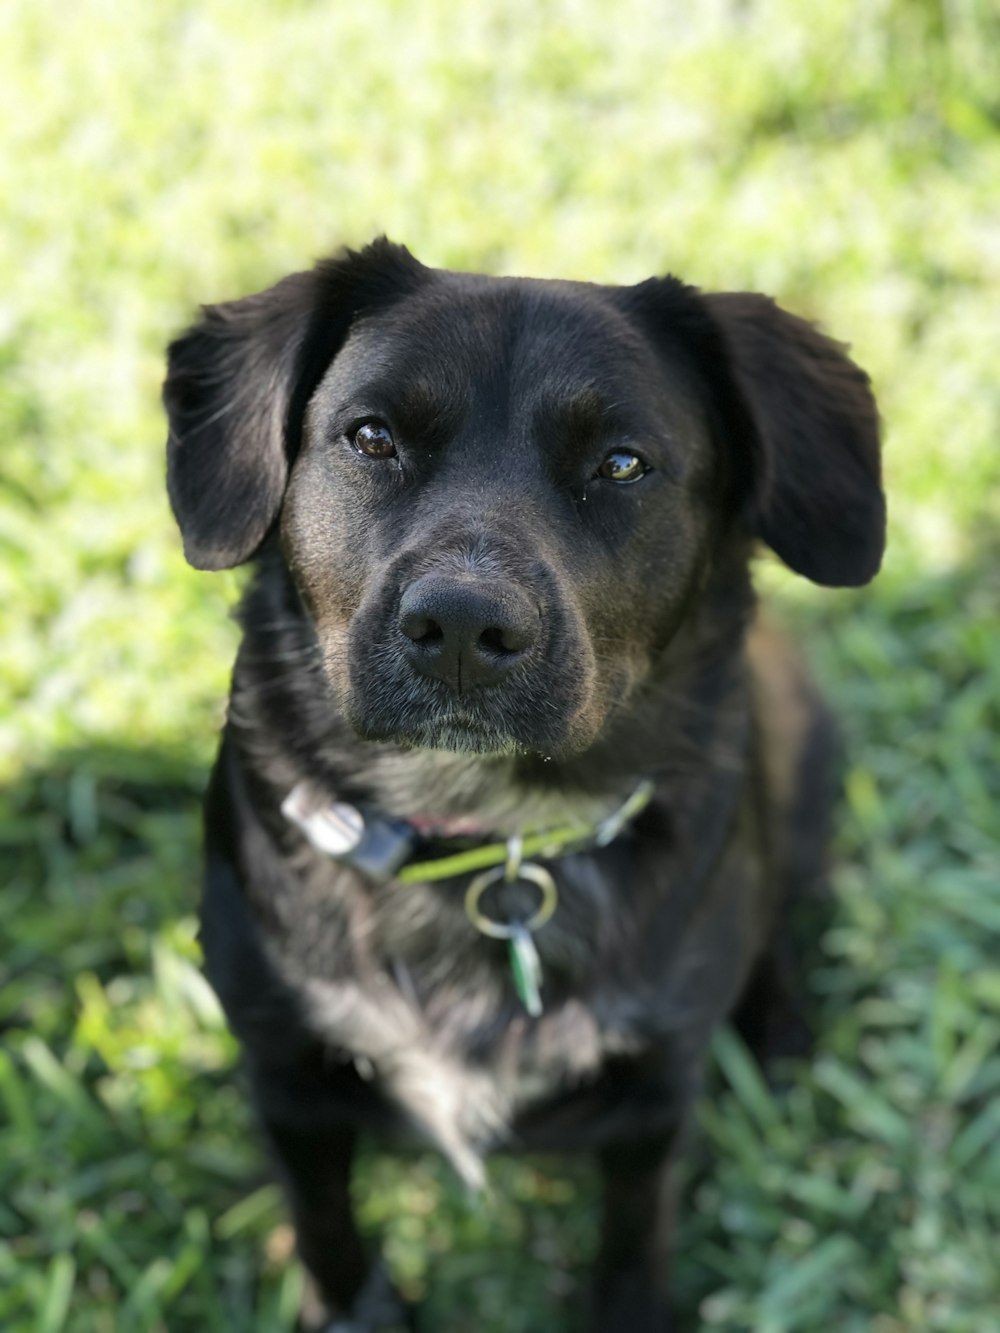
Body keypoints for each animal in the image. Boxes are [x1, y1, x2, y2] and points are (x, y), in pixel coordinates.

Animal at [162, 242, 885, 1333]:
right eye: (371, 437)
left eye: (622, 463)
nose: (462, 627)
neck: (480, 832)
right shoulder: (284, 1071)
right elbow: (327, 1229)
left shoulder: (655, 1095)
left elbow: (633, 1242)